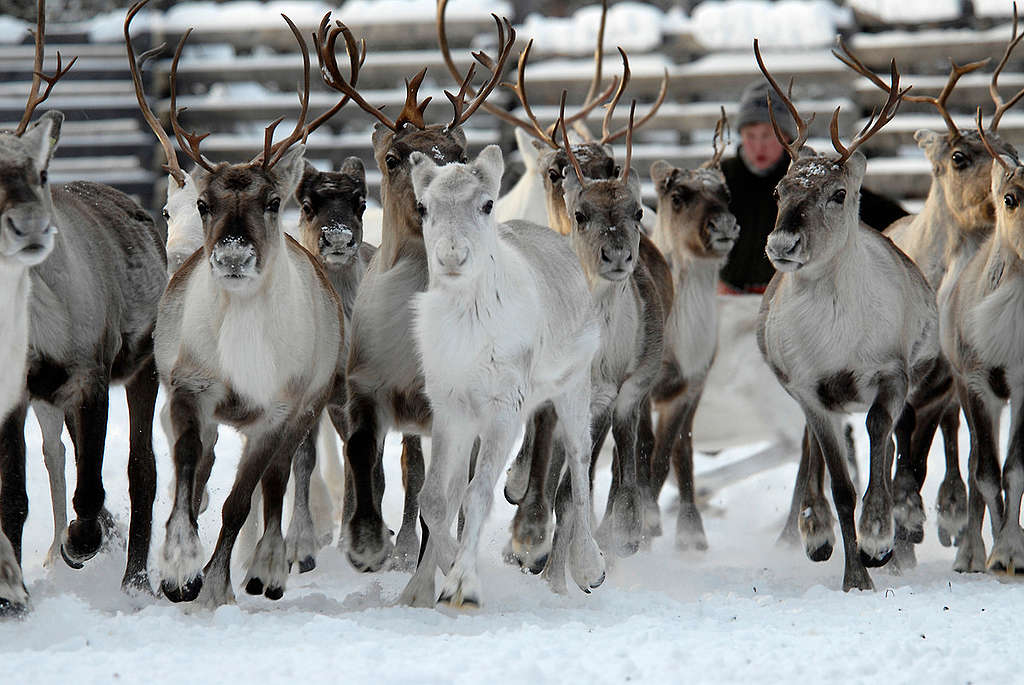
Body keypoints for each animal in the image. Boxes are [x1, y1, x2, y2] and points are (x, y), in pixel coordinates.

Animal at [399, 143, 602, 602]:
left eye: (487, 203)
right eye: (423, 207)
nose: (452, 257)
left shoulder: (505, 409)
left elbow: (477, 495)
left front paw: (464, 585)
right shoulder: (450, 410)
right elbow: (434, 499)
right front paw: (435, 578)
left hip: (573, 387)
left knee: (579, 461)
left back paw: (590, 569)